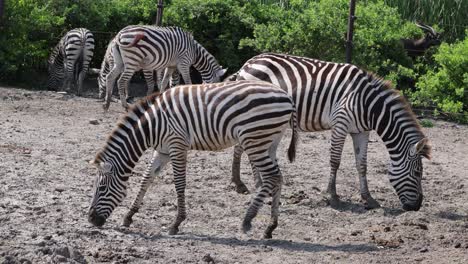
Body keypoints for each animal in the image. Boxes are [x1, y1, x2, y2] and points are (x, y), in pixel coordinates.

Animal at [87, 79, 298, 238]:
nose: (90, 219)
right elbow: (146, 179)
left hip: (255, 139)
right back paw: (270, 227)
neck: (151, 126)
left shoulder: (177, 145)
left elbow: (179, 183)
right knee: (278, 177)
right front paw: (129, 216)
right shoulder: (162, 150)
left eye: (102, 188)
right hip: (269, 142)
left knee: (271, 177)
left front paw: (176, 223)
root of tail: (287, 96)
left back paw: (248, 220)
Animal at [228, 52, 432, 211]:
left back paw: (249, 183)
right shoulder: (340, 124)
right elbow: (335, 161)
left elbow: (362, 164)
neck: (370, 106)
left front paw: (368, 198)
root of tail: (248, 63)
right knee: (245, 149)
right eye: (417, 173)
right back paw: (249, 184)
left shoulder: (362, 131)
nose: (417, 207)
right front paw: (333, 196)